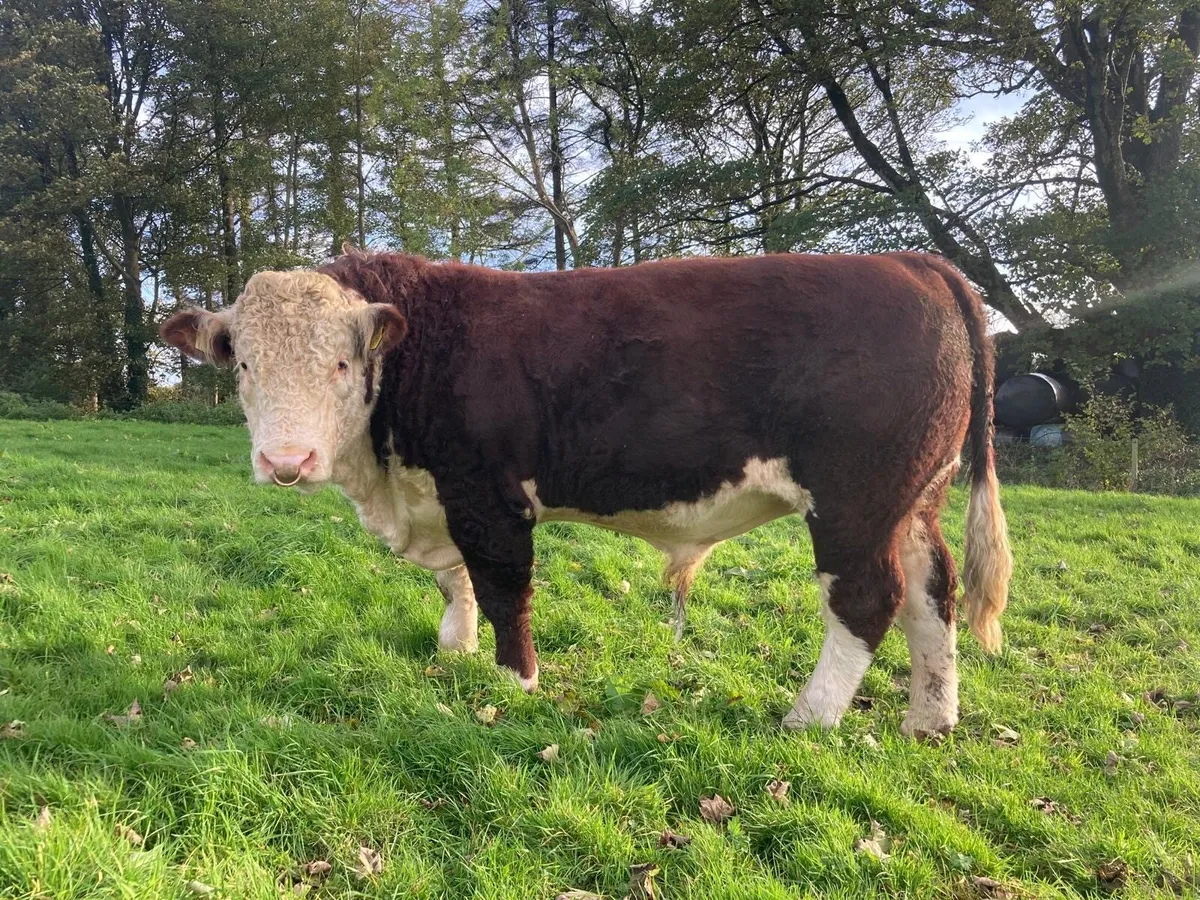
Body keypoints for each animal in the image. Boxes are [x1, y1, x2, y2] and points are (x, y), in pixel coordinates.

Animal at [161, 247, 1013, 738]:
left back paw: (809, 718)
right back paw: (930, 718)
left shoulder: (489, 496)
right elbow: (455, 579)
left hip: (854, 500)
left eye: (341, 363)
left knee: (868, 599)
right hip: (912, 497)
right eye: (244, 365)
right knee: (931, 593)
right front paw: (454, 648)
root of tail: (913, 261)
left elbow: (503, 588)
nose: (287, 460)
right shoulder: (441, 495)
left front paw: (513, 685)